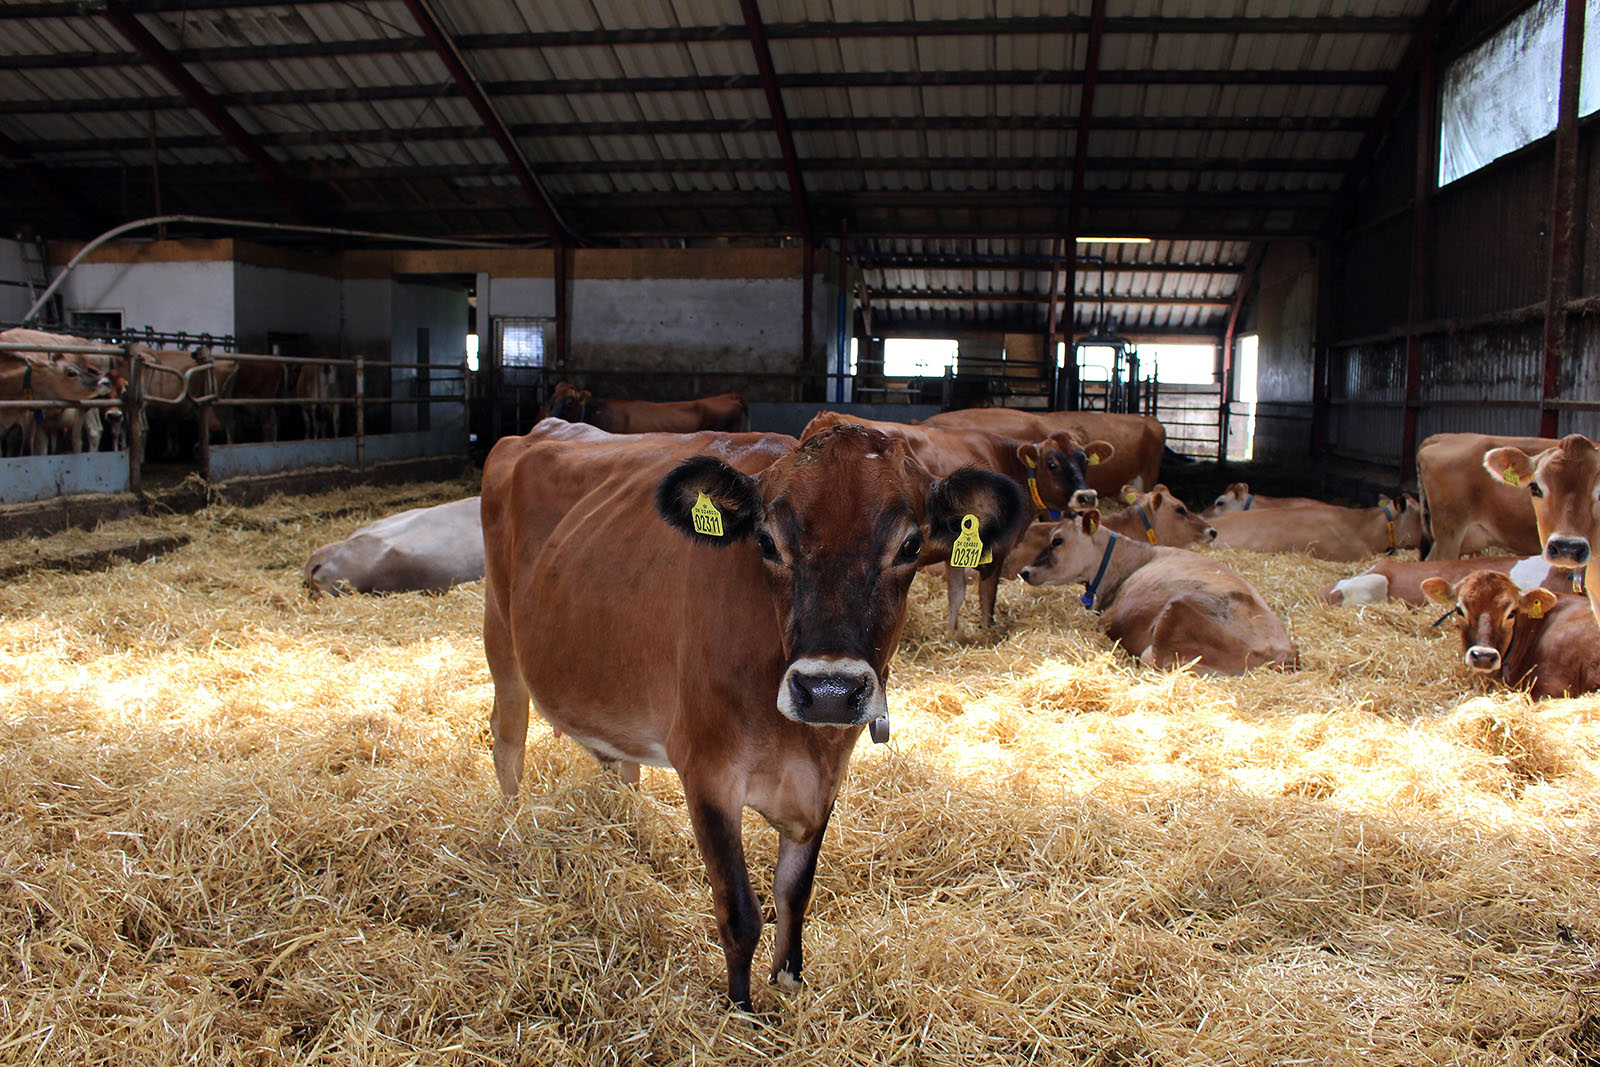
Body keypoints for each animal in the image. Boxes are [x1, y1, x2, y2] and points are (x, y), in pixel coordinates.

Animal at [481, 419, 1026, 1010]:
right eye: (766, 541)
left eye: (910, 544)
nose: (828, 690)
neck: (799, 740)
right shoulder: (708, 772)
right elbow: (740, 913)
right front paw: (740, 1011)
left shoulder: (825, 778)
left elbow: (794, 892)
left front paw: (789, 982)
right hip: (501, 637)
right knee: (507, 741)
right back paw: (511, 831)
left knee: (621, 767)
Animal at [801, 409, 1110, 634]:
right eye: (1052, 464)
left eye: (1084, 460)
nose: (1087, 496)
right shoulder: (996, 549)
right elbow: (987, 596)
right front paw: (988, 633)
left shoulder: (956, 549)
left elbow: (957, 594)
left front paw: (952, 633)